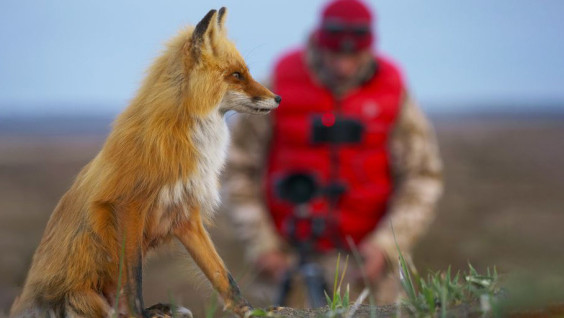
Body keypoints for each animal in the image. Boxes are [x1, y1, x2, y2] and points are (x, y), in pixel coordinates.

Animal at [10, 7, 280, 318]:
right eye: (237, 75)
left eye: (245, 72)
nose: (278, 98)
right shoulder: (128, 206)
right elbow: (133, 277)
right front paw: (140, 312)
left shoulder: (186, 215)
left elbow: (222, 274)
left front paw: (249, 309)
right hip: (82, 297)